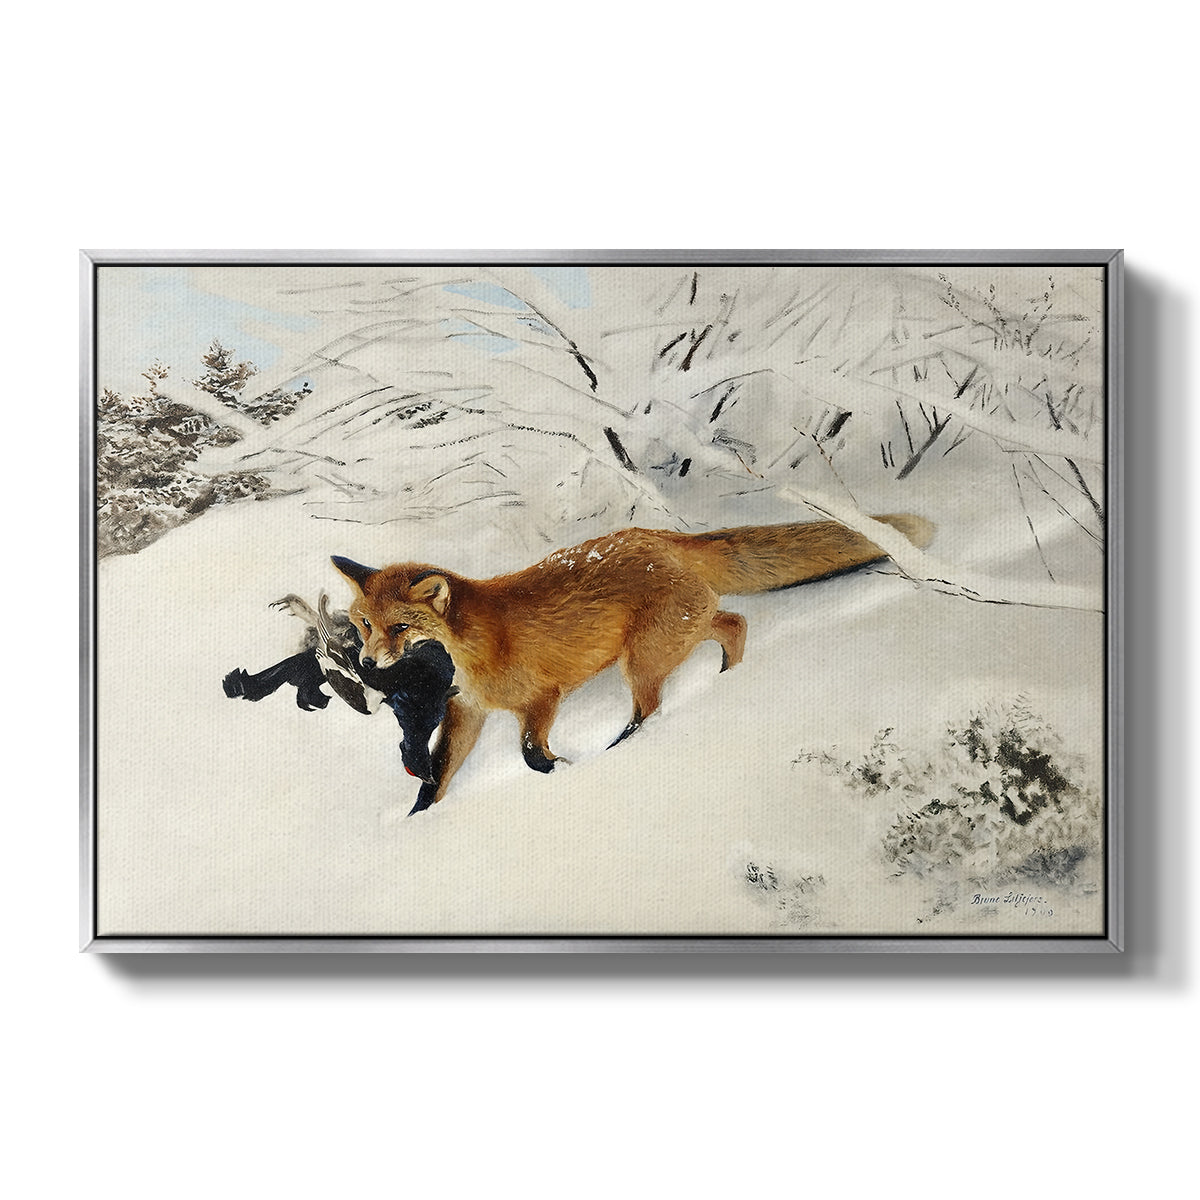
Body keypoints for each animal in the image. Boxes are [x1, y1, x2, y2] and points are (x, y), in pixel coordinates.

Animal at [332, 513, 933, 815]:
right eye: (364, 623)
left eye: (400, 628)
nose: (366, 661)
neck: (473, 648)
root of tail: (659, 537)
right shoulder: (468, 711)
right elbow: (437, 777)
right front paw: (417, 821)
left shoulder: (542, 698)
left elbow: (530, 754)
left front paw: (564, 770)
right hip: (677, 635)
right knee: (734, 622)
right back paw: (729, 679)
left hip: (642, 660)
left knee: (653, 707)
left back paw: (625, 747)